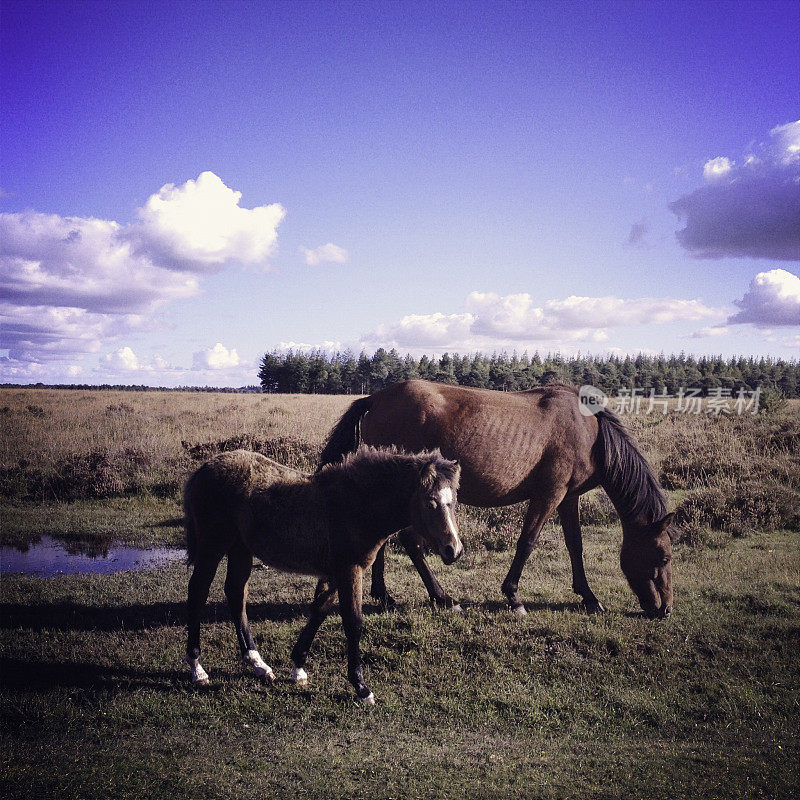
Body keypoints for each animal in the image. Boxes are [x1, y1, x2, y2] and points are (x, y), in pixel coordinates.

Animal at [184, 446, 460, 704]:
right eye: (430, 503)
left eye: (453, 502)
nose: (454, 550)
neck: (356, 506)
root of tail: (203, 469)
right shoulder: (350, 570)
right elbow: (353, 623)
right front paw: (361, 687)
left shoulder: (335, 573)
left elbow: (319, 611)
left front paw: (298, 667)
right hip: (213, 545)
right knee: (198, 591)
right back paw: (198, 669)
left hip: (240, 548)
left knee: (236, 593)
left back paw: (257, 664)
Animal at [318, 380, 676, 620]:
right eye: (664, 558)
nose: (665, 610)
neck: (589, 430)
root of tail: (376, 397)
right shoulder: (549, 494)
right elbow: (527, 542)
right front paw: (513, 597)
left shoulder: (568, 497)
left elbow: (575, 545)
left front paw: (588, 597)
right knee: (411, 542)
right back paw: (442, 597)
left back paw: (384, 596)